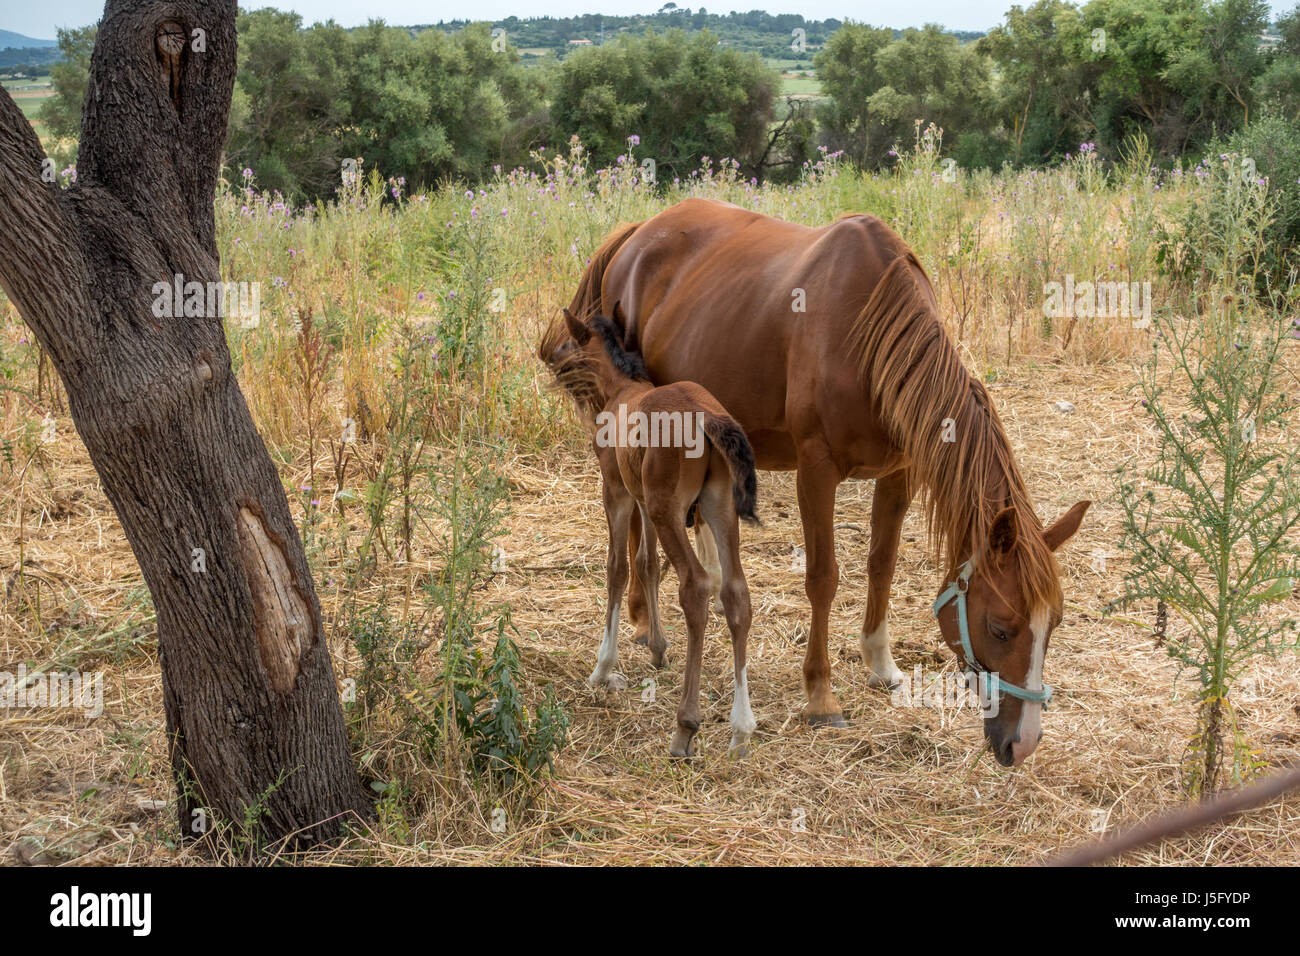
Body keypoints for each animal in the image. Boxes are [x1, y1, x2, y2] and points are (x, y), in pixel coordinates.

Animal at [546, 304, 762, 758]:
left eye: (569, 343)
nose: (551, 363)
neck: (623, 389)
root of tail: (708, 416)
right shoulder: (642, 499)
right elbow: (646, 563)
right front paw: (658, 649)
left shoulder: (616, 490)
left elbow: (617, 567)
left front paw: (603, 667)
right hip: (718, 508)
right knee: (736, 593)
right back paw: (740, 729)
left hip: (670, 511)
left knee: (695, 586)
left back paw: (685, 726)